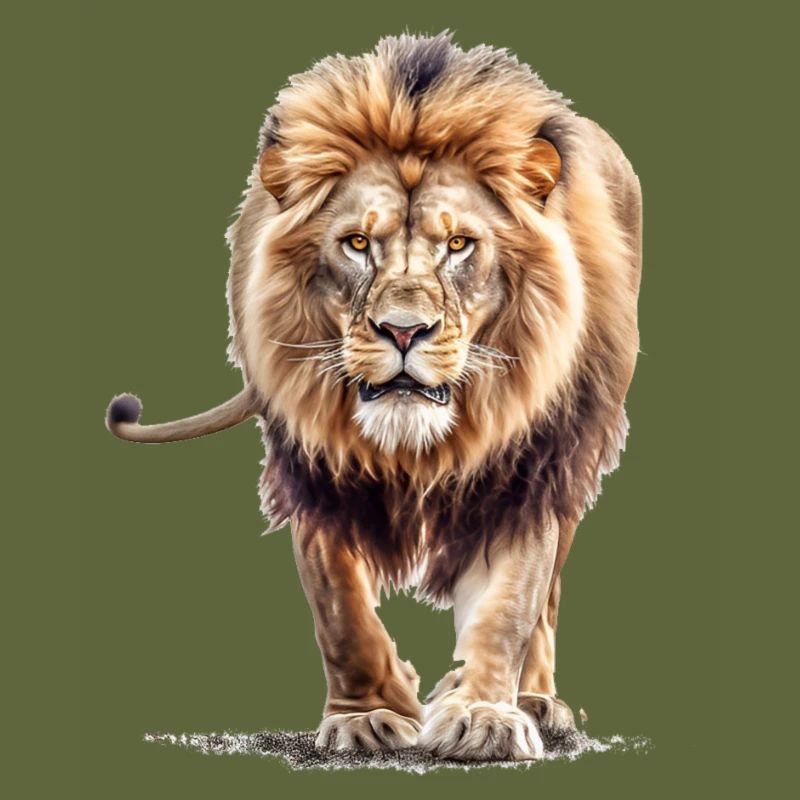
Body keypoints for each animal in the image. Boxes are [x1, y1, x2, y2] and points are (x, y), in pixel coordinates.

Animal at [106, 32, 641, 761]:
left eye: (459, 244)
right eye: (358, 242)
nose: (404, 330)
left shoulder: (529, 467)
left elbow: (510, 604)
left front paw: (484, 715)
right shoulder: (316, 467)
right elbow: (342, 611)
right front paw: (368, 715)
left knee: (550, 590)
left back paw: (534, 702)